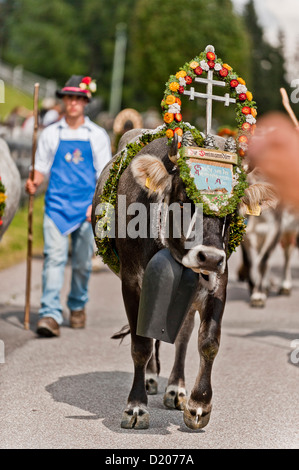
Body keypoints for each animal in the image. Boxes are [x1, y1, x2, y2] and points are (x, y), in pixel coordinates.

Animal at [92, 46, 278, 432]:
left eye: (234, 207)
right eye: (183, 195)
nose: (208, 257)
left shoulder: (217, 280)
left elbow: (207, 341)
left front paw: (198, 405)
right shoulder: (133, 280)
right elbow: (140, 342)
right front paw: (135, 407)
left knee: (182, 333)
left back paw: (175, 389)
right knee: (150, 333)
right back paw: (151, 381)